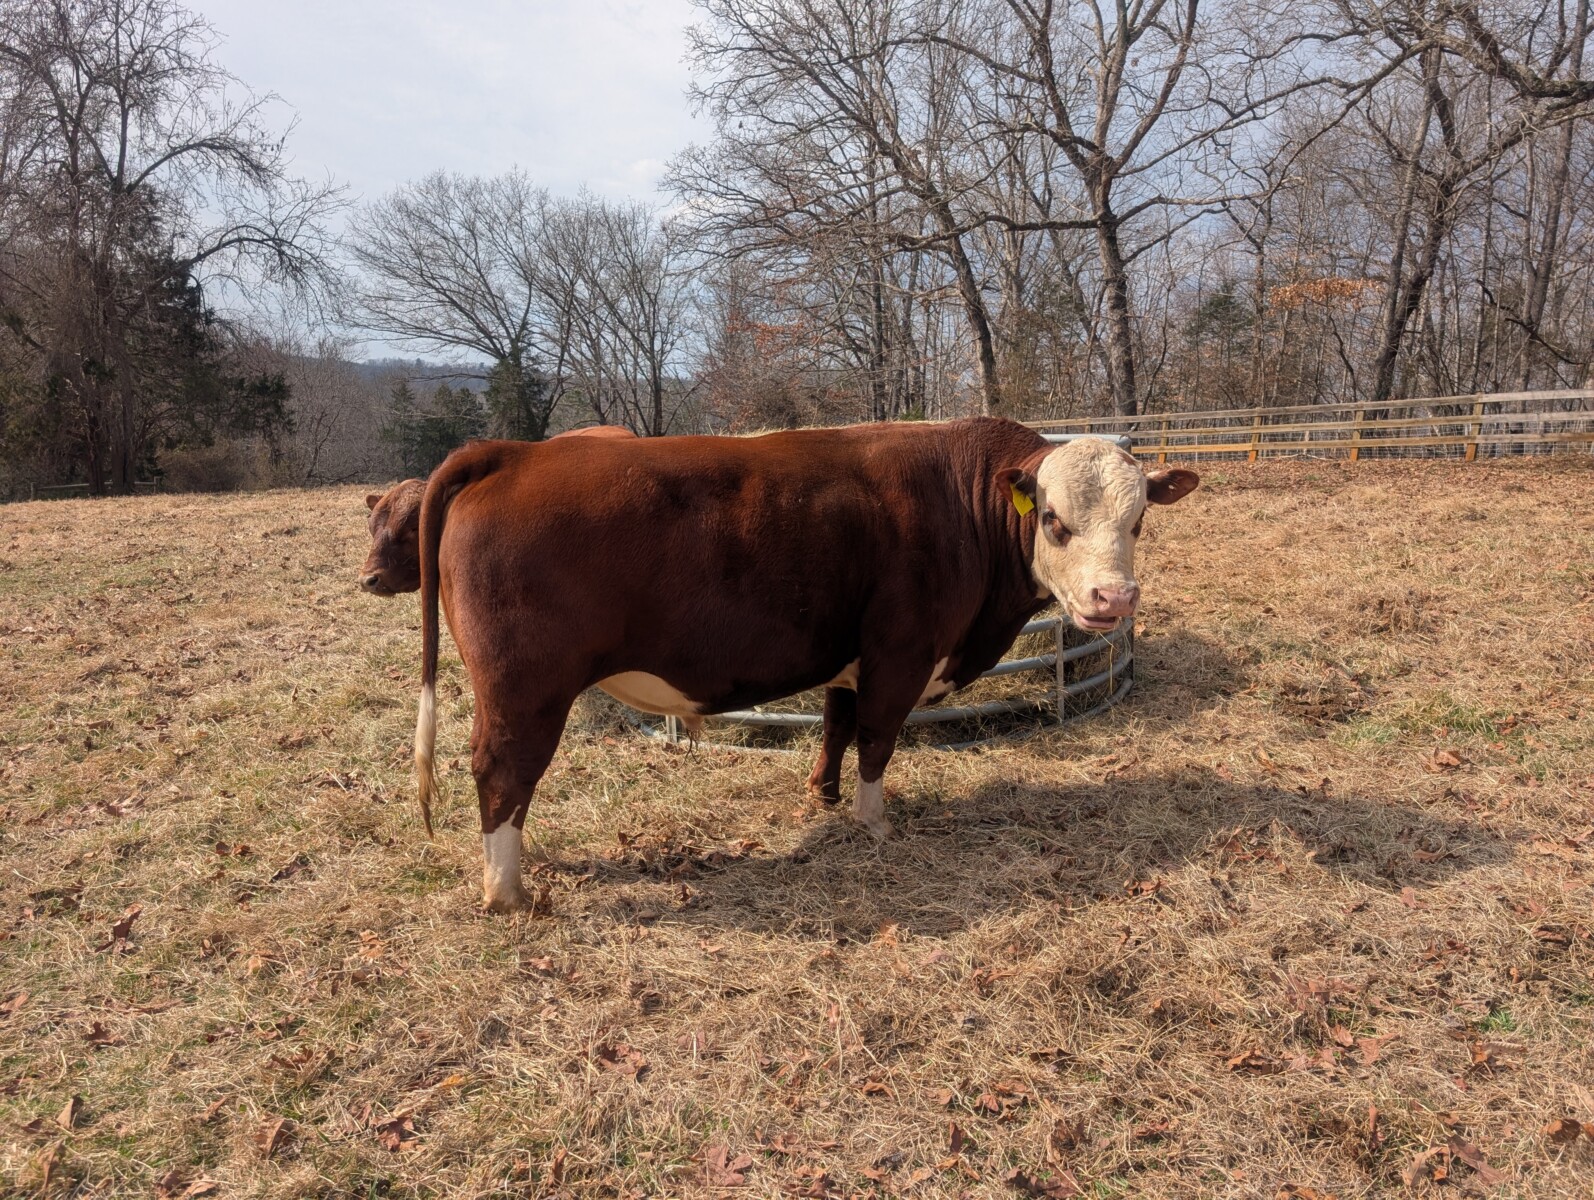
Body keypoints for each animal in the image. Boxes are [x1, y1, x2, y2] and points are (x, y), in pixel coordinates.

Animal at [410, 417, 1198, 911]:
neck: (959, 502)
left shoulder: (852, 659)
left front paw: (822, 796)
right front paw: (874, 824)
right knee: (502, 769)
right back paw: (508, 891)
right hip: (526, 689)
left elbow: (836, 727)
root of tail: (512, 453)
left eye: (1138, 522)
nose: (1113, 599)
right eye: (1055, 521)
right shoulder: (900, 653)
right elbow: (877, 739)